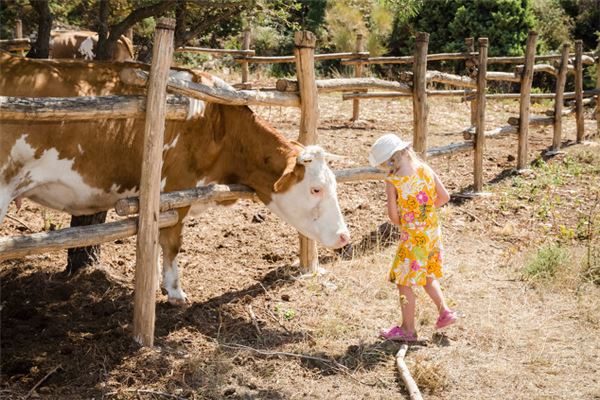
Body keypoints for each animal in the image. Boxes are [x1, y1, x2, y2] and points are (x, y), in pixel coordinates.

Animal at [0, 52, 350, 306]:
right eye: (316, 189)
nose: (344, 236)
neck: (217, 121)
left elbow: (156, 240)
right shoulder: (177, 188)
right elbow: (172, 243)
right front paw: (174, 292)